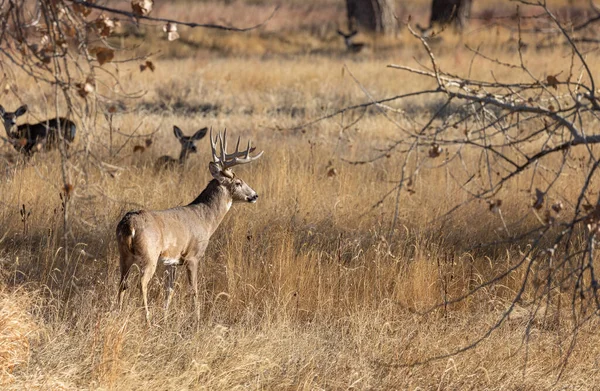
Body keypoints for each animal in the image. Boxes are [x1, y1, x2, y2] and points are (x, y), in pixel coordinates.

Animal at [117, 129, 262, 324]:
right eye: (238, 182)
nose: (254, 195)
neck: (205, 219)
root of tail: (129, 224)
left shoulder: (171, 261)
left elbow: (169, 290)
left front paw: (165, 317)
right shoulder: (193, 256)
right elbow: (194, 289)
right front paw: (197, 318)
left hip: (124, 255)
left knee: (122, 283)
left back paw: (116, 312)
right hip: (149, 254)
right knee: (141, 283)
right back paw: (147, 319)